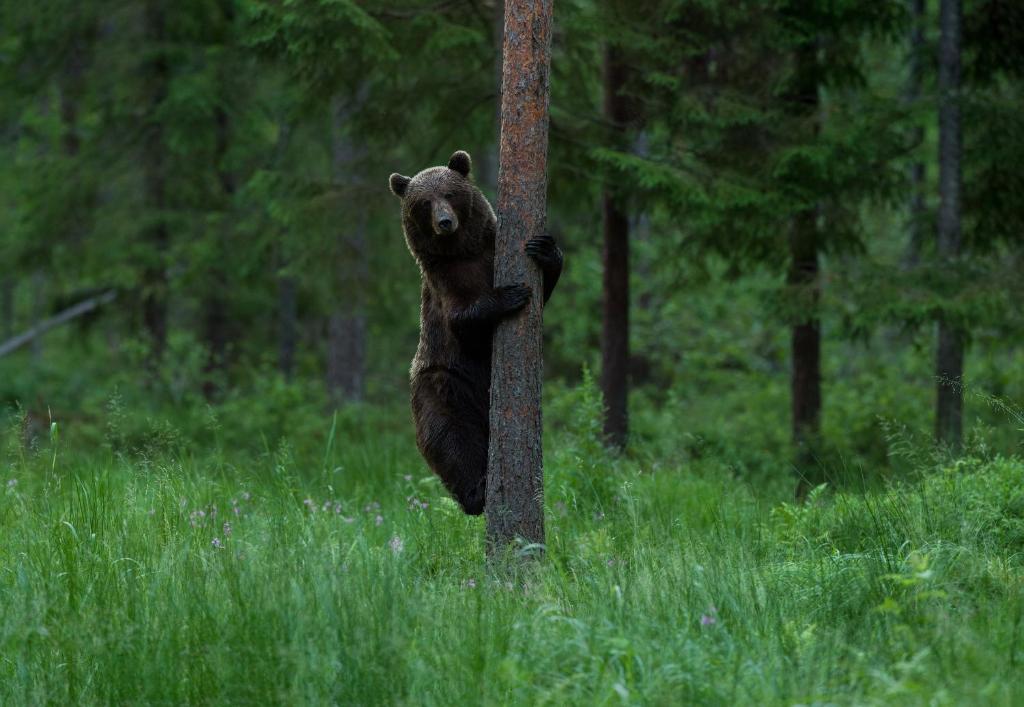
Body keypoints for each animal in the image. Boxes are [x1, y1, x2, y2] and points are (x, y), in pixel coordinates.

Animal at [388, 149, 563, 515]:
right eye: (424, 203)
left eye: (449, 193)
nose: (444, 222)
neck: (463, 251)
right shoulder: (445, 284)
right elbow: (462, 322)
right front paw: (508, 295)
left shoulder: (490, 251)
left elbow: (543, 289)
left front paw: (545, 249)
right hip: (443, 384)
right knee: (450, 438)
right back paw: (476, 493)